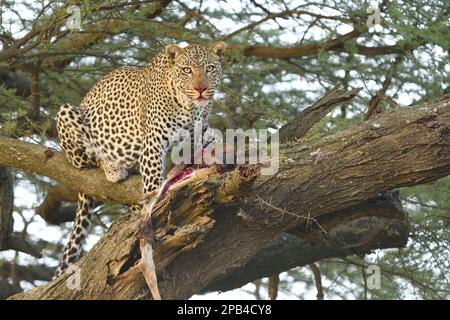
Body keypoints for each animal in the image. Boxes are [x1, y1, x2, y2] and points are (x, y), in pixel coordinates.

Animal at [54, 41, 227, 278]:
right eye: (187, 70)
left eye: (210, 68)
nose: (201, 89)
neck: (191, 108)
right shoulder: (153, 143)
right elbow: (154, 184)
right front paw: (158, 206)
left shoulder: (200, 134)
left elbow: (214, 139)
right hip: (67, 114)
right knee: (87, 160)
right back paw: (112, 167)